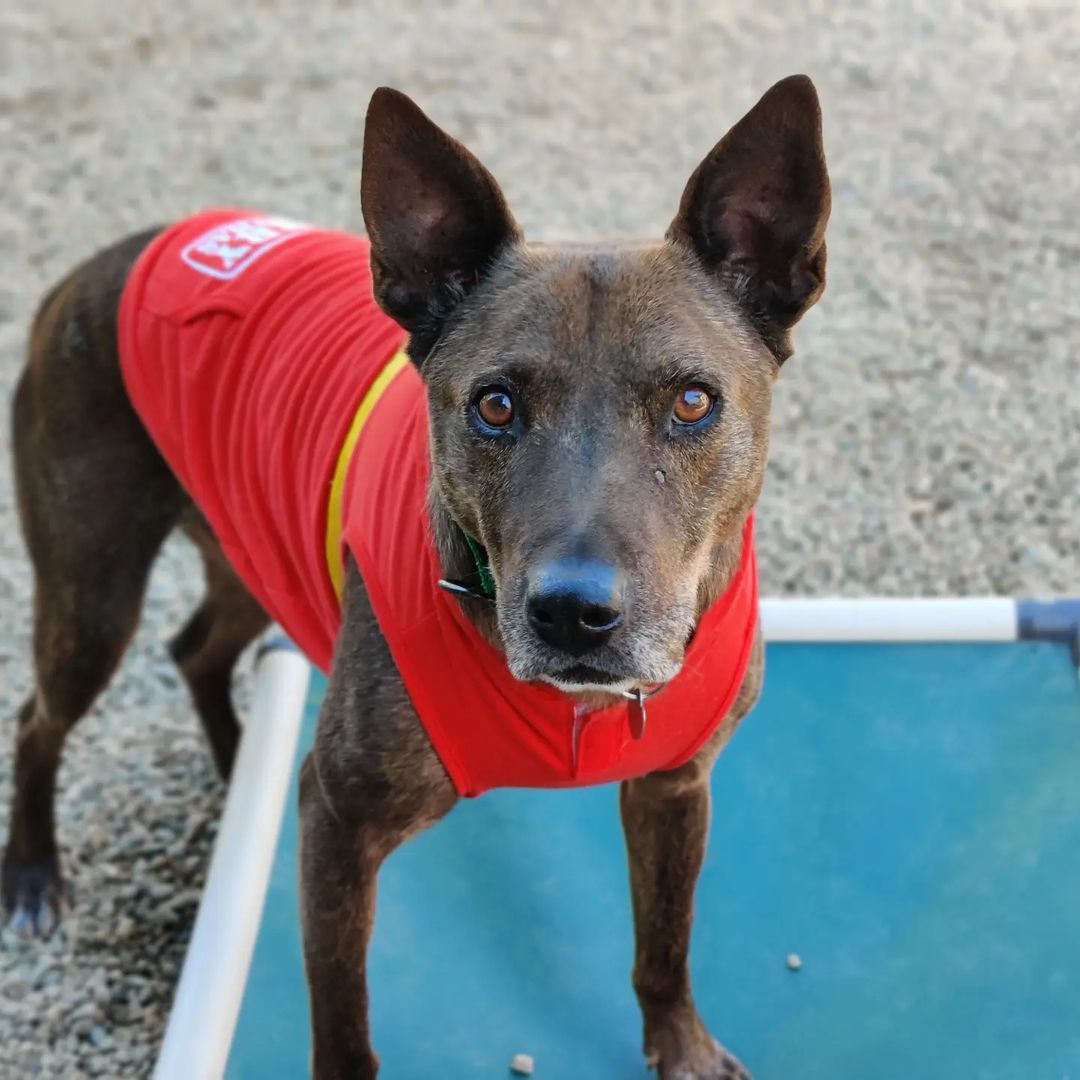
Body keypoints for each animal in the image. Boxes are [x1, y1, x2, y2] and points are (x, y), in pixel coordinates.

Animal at [2, 76, 825, 1080]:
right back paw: (32, 875)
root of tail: (103, 261)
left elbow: (663, 945)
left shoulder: (674, 789)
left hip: (243, 535)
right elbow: (343, 1026)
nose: (573, 615)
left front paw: (682, 1049)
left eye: (693, 401)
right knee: (39, 717)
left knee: (195, 648)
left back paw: (236, 769)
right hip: (94, 593)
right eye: (495, 405)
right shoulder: (338, 828)